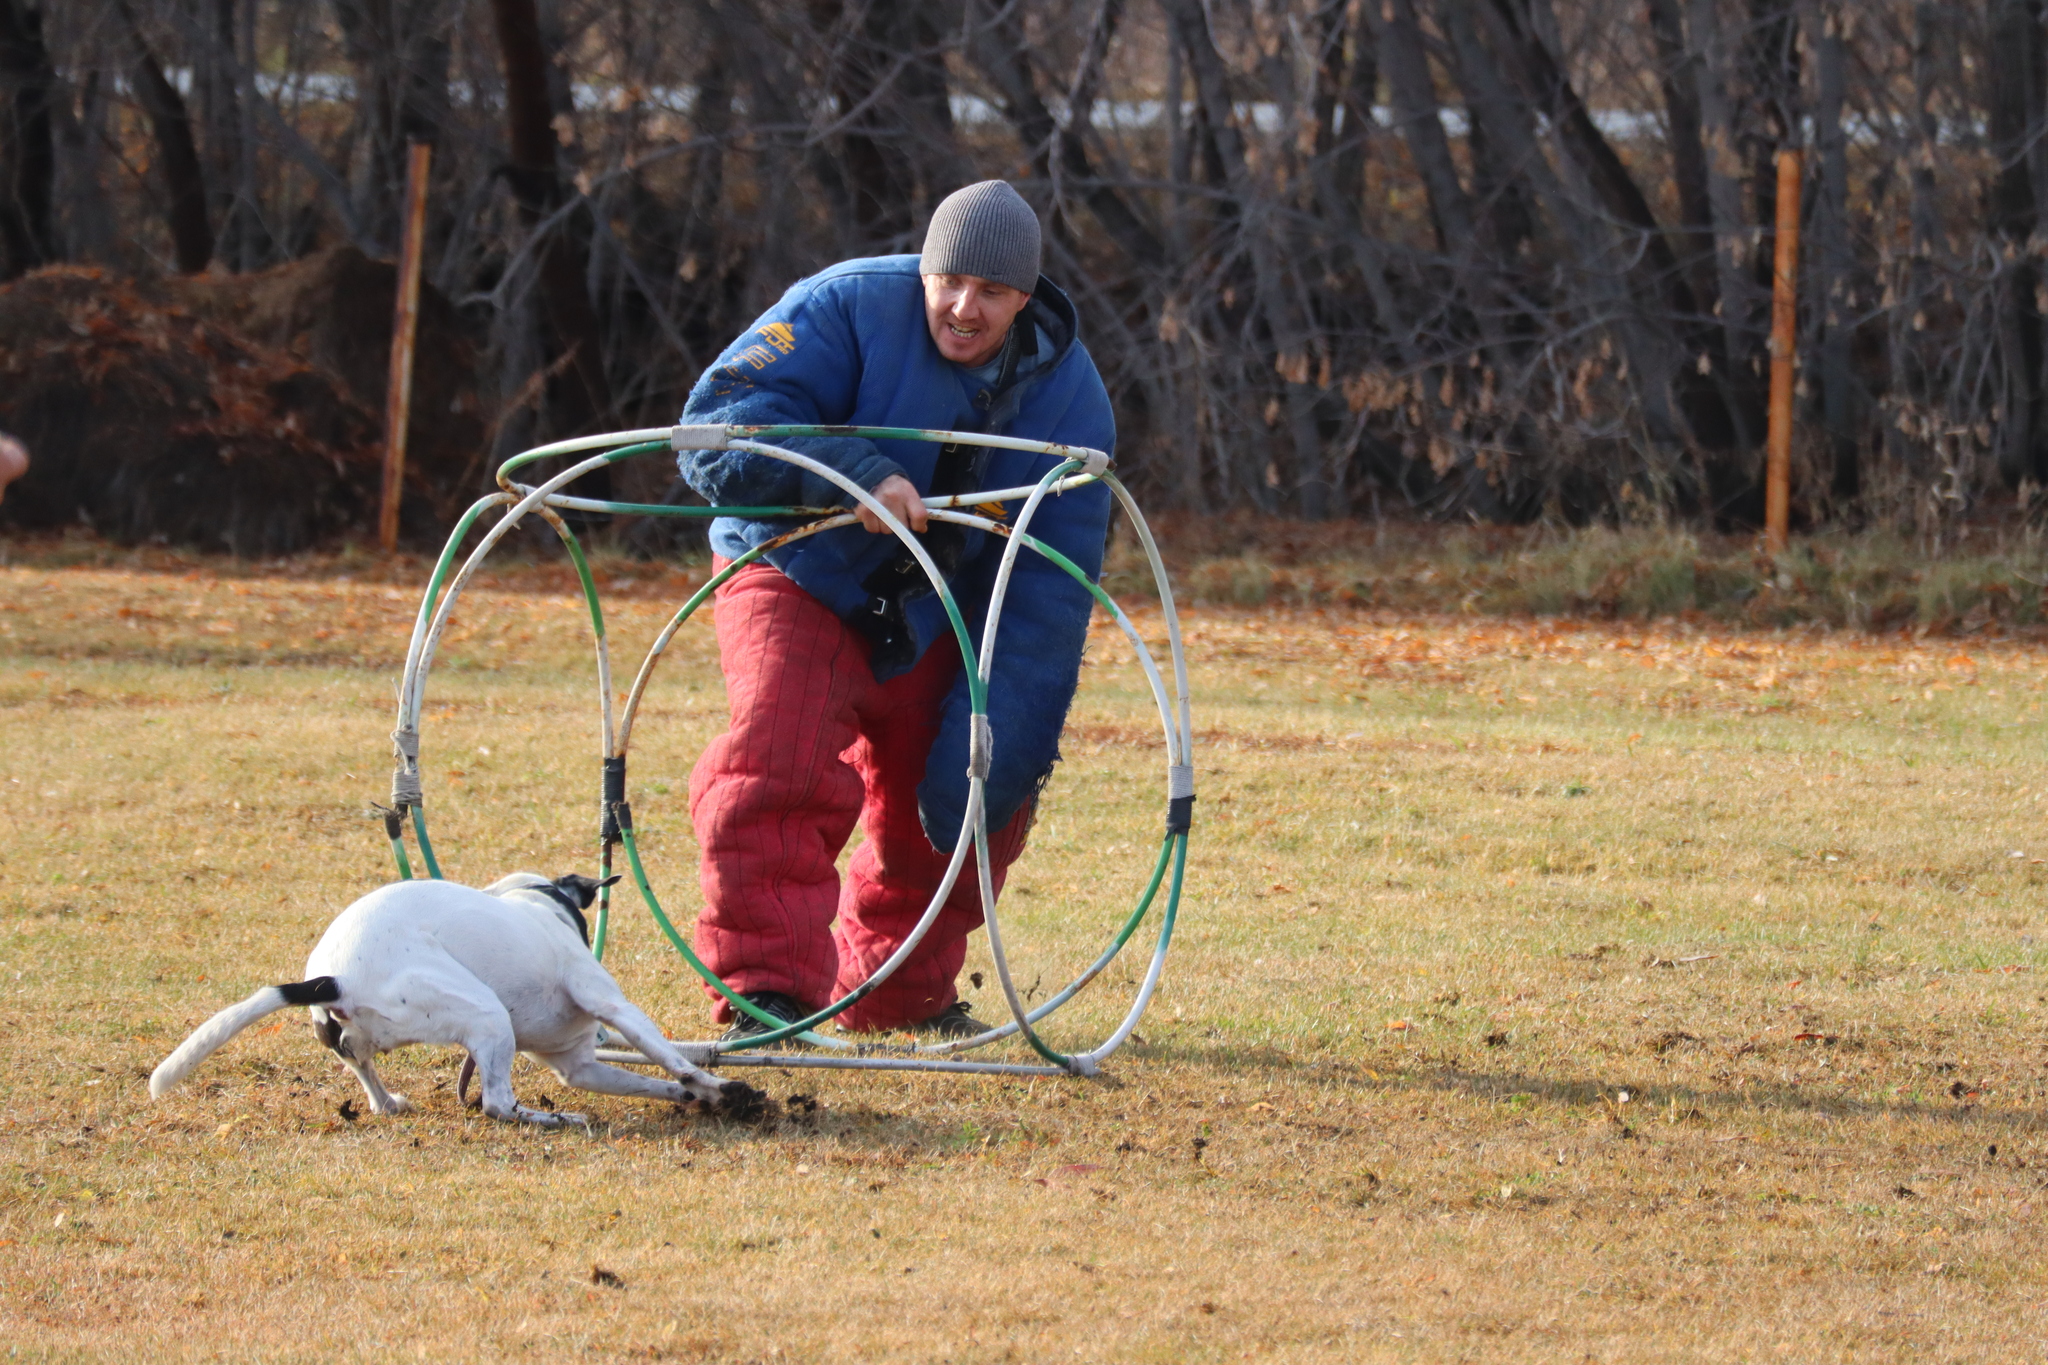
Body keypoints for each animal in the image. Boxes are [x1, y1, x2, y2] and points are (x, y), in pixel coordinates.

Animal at [149, 879, 761, 1129]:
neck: (535, 904)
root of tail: (334, 979)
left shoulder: (579, 1067)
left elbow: (656, 1081)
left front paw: (698, 1100)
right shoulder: (613, 1006)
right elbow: (674, 1060)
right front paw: (717, 1088)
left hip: (356, 1043)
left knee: (370, 1081)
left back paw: (388, 1102)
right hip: (485, 1015)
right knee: (496, 1104)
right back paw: (553, 1118)